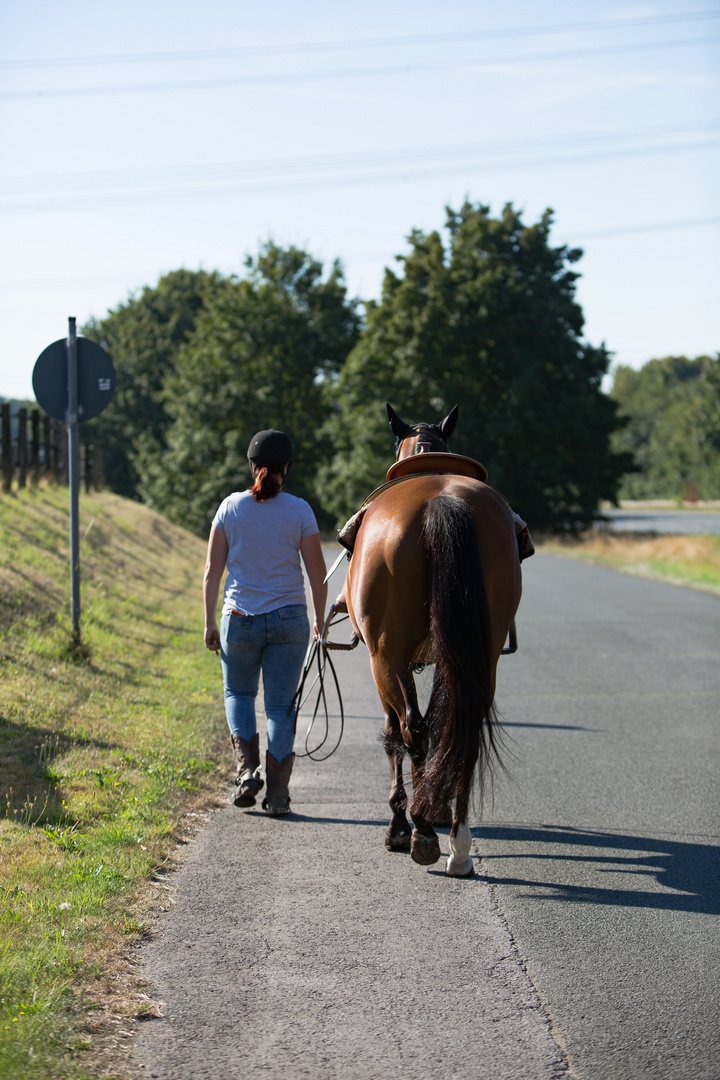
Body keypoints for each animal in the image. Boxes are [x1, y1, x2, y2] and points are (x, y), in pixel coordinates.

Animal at [345, 406, 520, 876]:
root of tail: (443, 500)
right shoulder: (451, 654)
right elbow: (447, 723)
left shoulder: (385, 660)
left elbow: (396, 733)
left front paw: (400, 823)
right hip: (481, 652)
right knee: (466, 728)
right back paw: (458, 845)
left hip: (386, 656)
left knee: (412, 728)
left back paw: (419, 831)